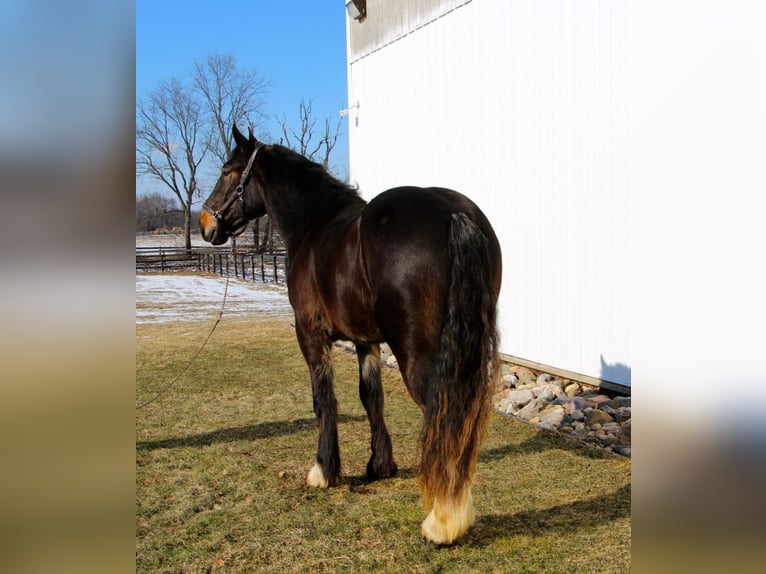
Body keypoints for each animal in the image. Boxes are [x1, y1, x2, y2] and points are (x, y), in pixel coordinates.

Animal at [201, 126, 504, 548]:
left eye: (228, 170)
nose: (205, 224)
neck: (314, 225)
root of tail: (453, 214)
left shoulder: (310, 334)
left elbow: (323, 398)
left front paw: (324, 470)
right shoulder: (366, 340)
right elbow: (371, 397)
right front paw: (380, 465)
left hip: (420, 356)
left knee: (444, 415)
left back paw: (442, 522)